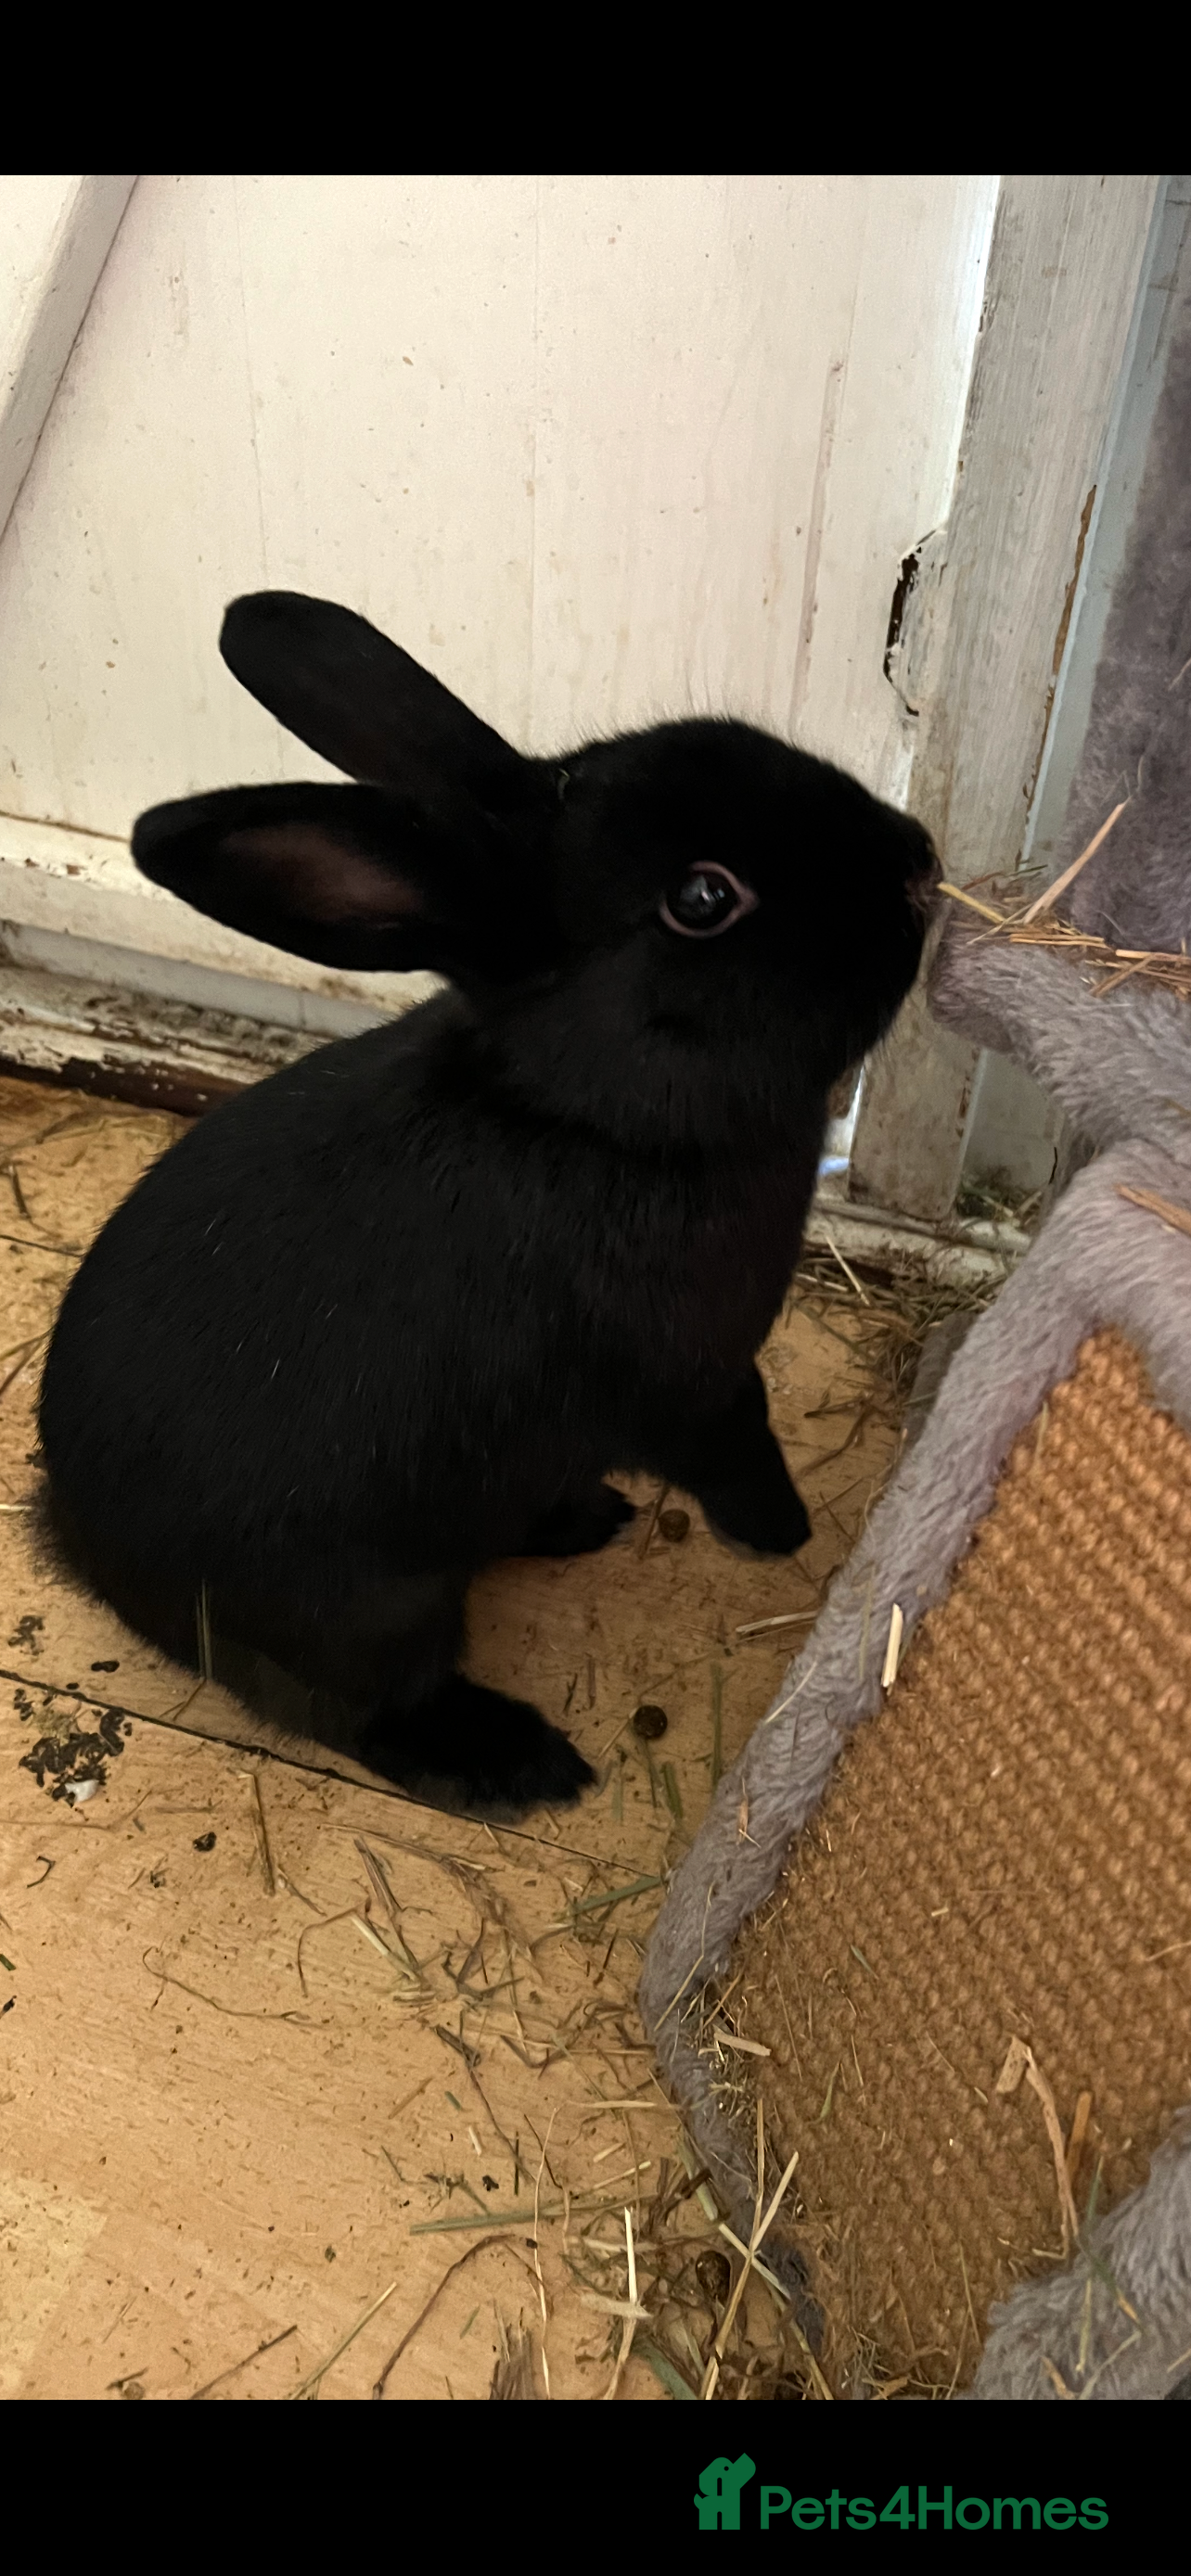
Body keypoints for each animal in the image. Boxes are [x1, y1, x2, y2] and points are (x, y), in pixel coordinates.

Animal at [37, 590, 937, 1819]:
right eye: (703, 899)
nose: (921, 865)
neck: (588, 1116)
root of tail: (80, 1549)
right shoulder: (684, 1382)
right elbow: (736, 1442)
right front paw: (780, 1534)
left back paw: (581, 1517)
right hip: (372, 1612)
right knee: (369, 1717)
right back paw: (518, 1763)